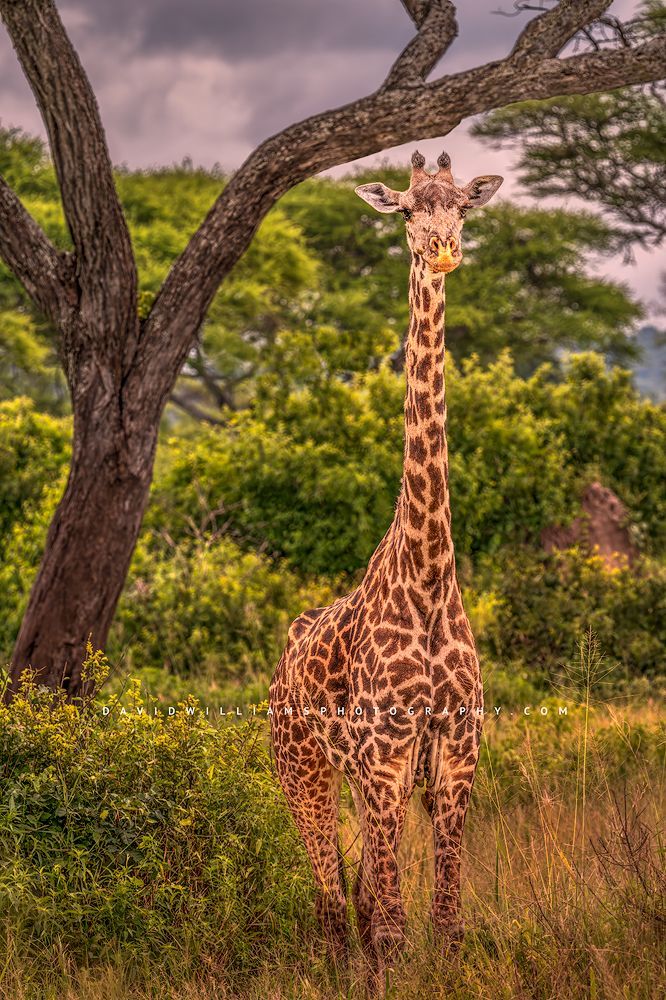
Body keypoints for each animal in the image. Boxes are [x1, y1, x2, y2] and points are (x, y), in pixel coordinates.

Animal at [270, 150, 503, 972]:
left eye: (463, 206)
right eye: (404, 209)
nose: (444, 250)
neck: (430, 573)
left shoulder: (454, 752)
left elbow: (445, 923)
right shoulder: (383, 751)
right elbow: (395, 935)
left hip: (370, 778)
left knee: (361, 889)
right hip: (302, 770)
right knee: (332, 899)